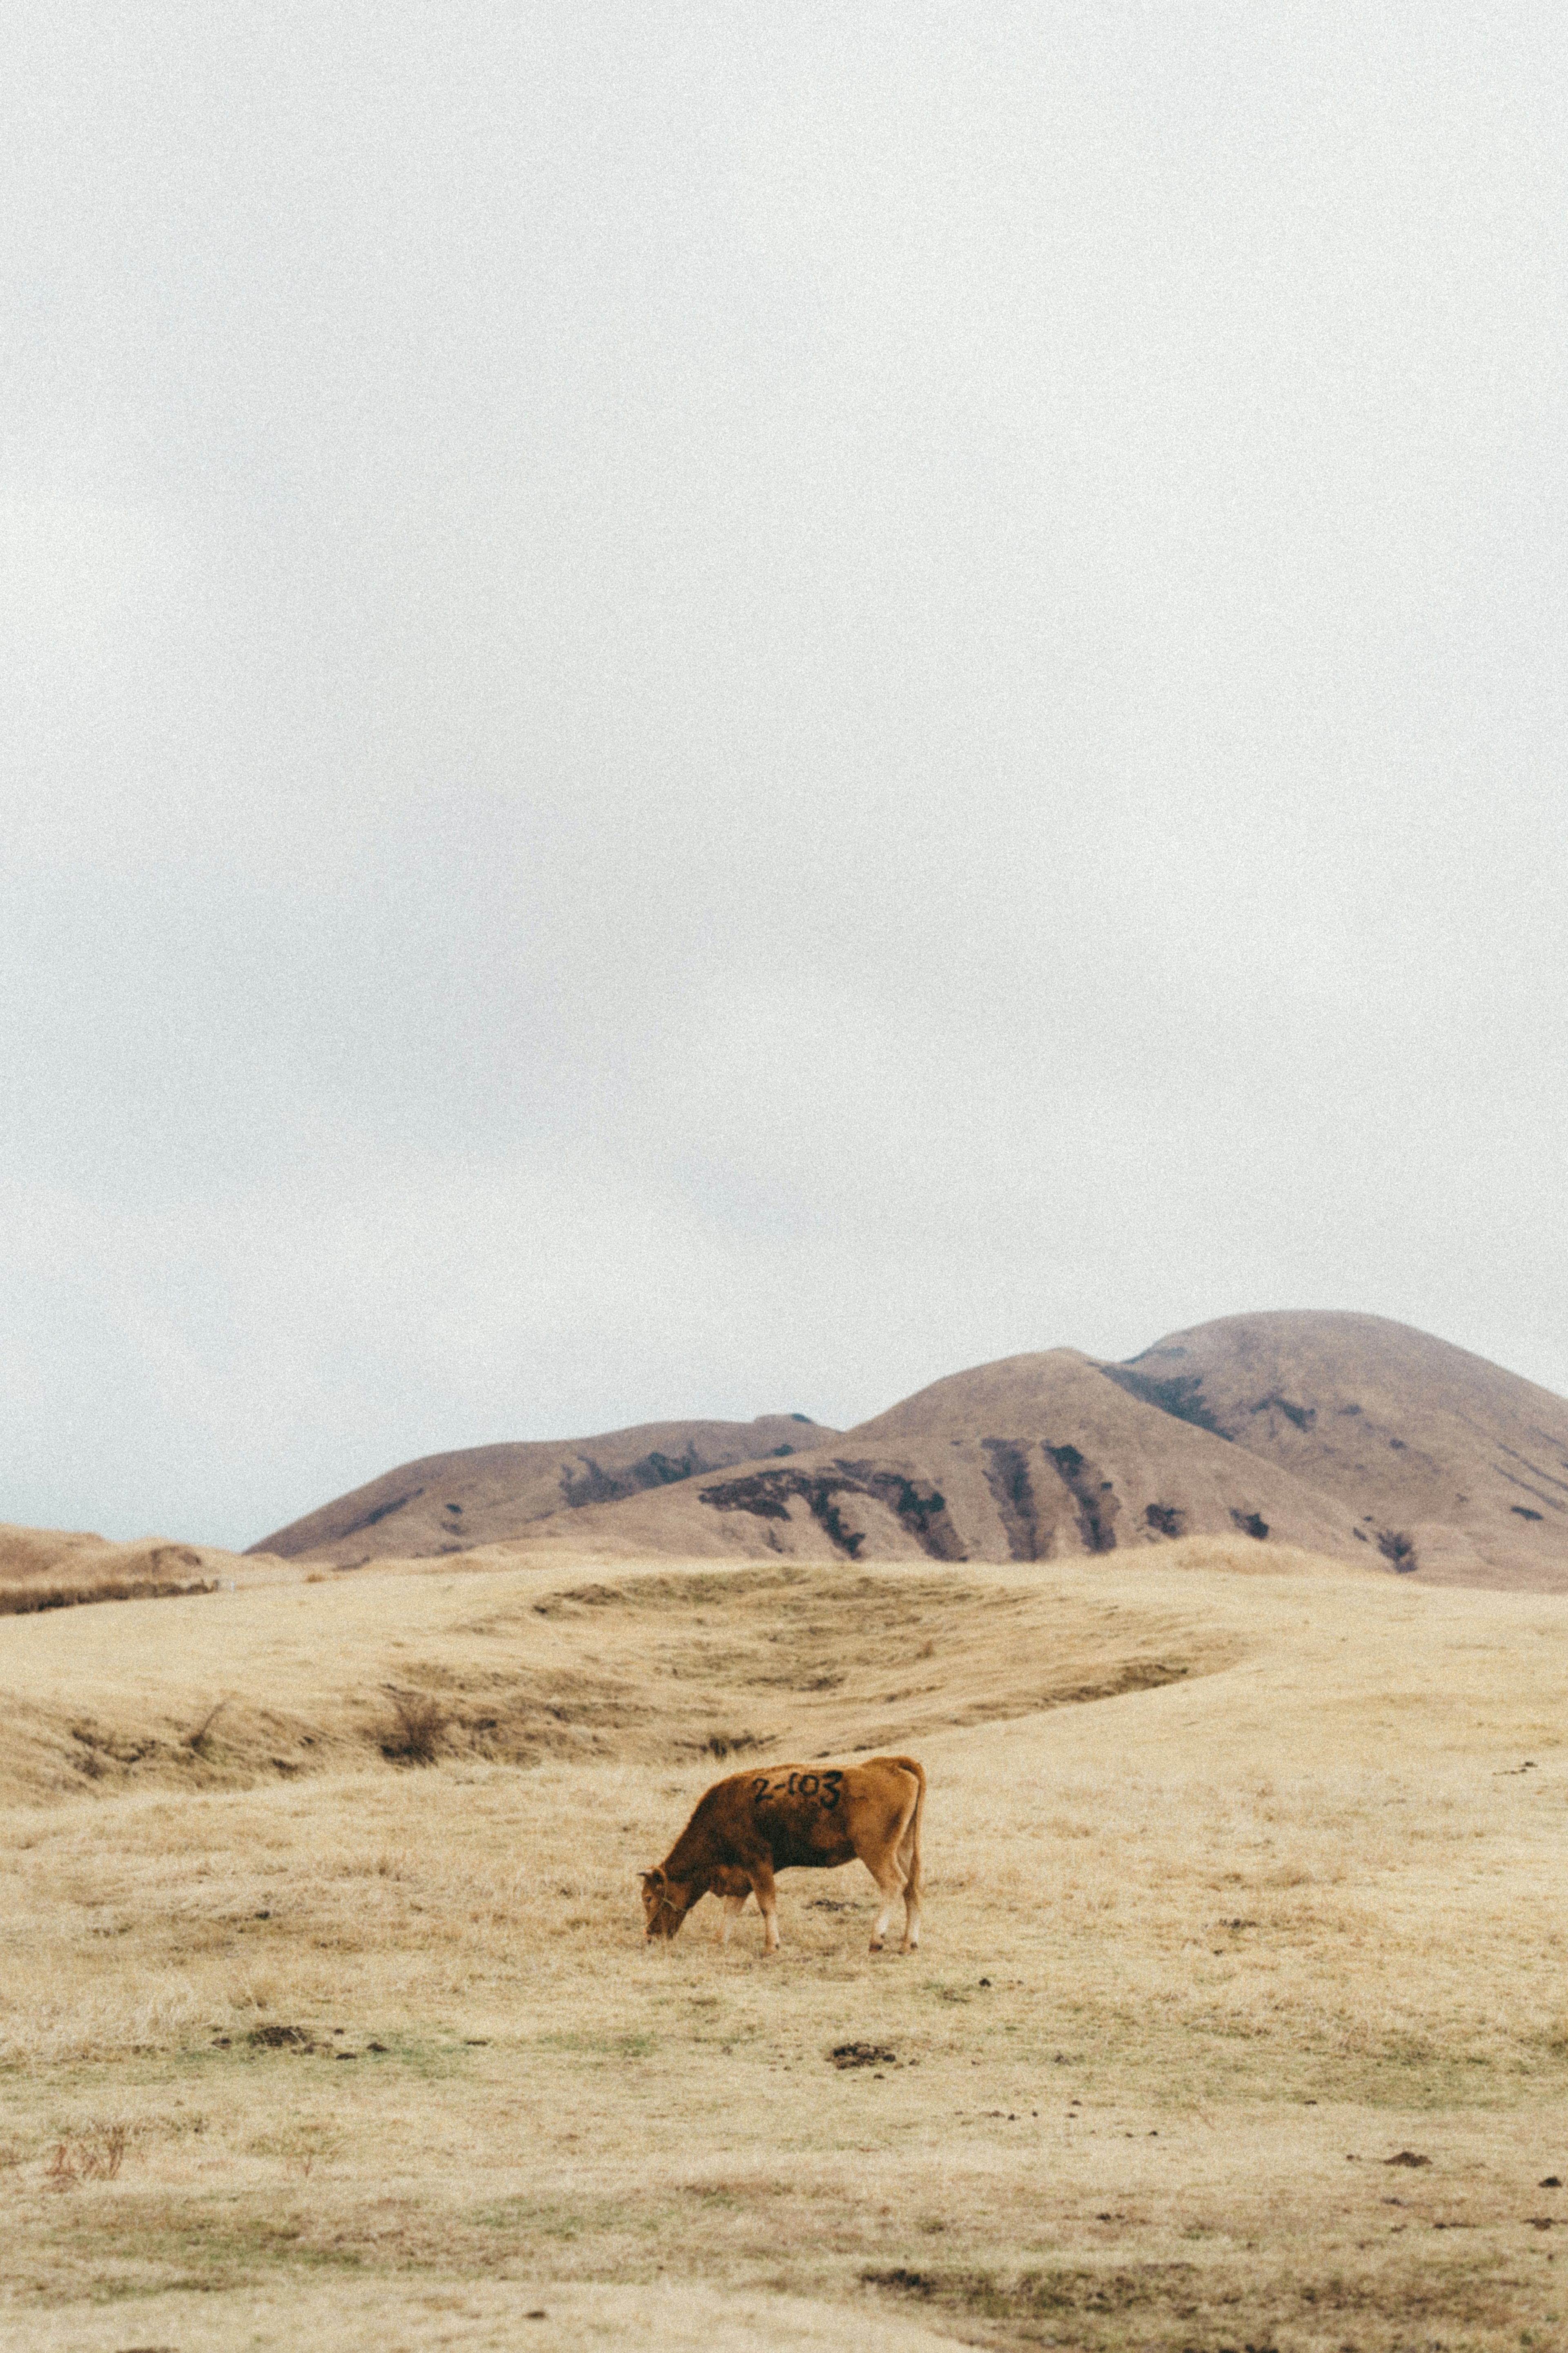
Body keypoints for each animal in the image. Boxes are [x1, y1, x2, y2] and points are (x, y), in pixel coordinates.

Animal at [644, 1760, 926, 1958]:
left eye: (648, 1898)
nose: (649, 1935)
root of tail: (888, 1763)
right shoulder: (741, 1876)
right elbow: (732, 1909)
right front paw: (718, 1941)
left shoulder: (758, 1865)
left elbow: (767, 1905)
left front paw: (771, 1946)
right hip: (904, 1851)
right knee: (911, 1888)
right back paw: (908, 1944)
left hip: (875, 1851)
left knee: (894, 1884)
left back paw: (876, 1941)